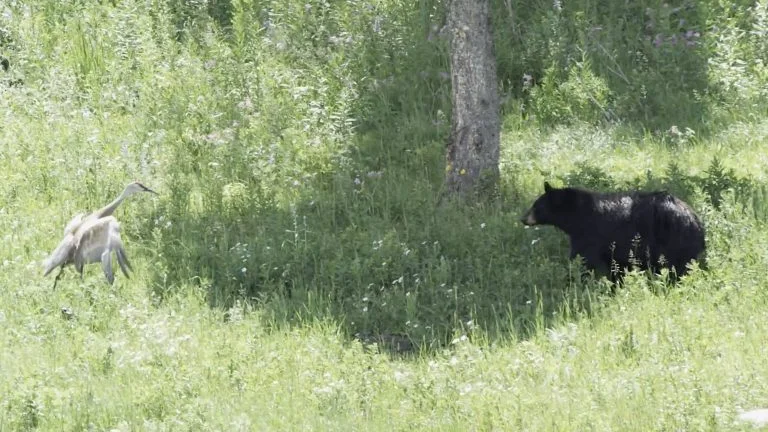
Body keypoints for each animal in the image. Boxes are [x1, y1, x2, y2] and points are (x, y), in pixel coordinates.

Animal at [520, 181, 706, 281]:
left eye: (536, 206)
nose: (523, 219)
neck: (577, 216)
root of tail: (695, 220)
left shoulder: (589, 236)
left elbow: (583, 259)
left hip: (672, 241)